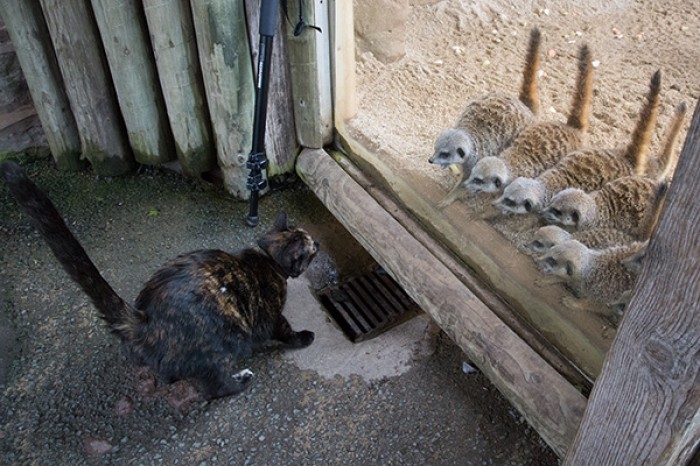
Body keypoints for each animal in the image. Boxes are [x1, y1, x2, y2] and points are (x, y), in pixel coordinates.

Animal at [1, 161, 318, 400]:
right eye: (311, 247)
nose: (318, 243)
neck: (268, 258)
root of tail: (145, 320)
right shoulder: (270, 314)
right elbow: (285, 331)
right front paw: (304, 337)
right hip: (220, 340)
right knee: (215, 387)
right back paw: (241, 381)